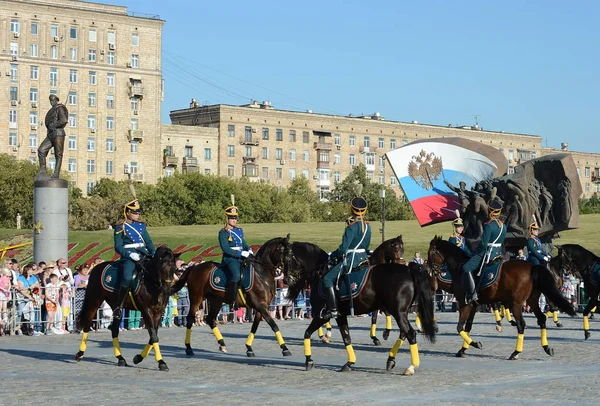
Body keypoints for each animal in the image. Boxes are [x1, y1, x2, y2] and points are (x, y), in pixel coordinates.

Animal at [75, 244, 179, 372]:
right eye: (161, 266)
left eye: (174, 267)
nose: (167, 290)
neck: (150, 282)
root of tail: (97, 267)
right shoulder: (146, 311)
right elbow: (154, 336)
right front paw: (161, 362)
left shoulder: (158, 312)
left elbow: (154, 335)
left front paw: (138, 358)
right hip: (94, 301)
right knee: (87, 324)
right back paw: (80, 354)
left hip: (116, 307)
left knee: (114, 329)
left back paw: (120, 358)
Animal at [284, 239, 434, 376]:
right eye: (396, 248)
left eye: (286, 258)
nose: (285, 280)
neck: (320, 273)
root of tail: (409, 270)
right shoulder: (340, 315)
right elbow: (346, 338)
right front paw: (349, 362)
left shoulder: (321, 315)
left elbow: (307, 333)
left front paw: (308, 360)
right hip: (401, 312)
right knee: (404, 333)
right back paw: (391, 359)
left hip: (398, 312)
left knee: (410, 333)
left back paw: (410, 366)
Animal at [426, 236, 576, 360]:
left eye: (430, 252)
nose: (429, 269)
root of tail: (532, 267)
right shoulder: (472, 304)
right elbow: (467, 327)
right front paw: (463, 349)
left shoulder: (465, 304)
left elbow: (460, 327)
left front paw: (473, 344)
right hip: (530, 301)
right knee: (540, 319)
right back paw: (545, 347)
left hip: (517, 303)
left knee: (523, 324)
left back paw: (516, 352)